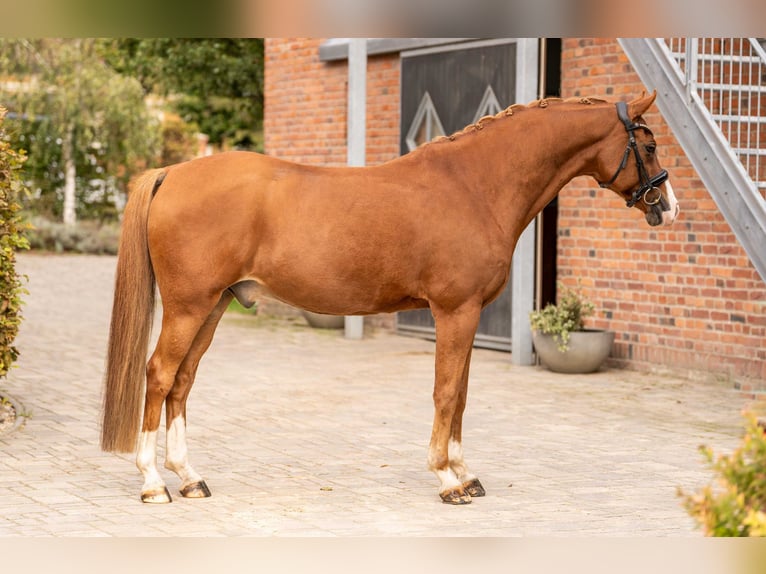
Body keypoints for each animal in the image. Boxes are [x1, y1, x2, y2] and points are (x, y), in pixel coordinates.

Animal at [100, 92, 680, 506]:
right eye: (649, 145)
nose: (668, 207)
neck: (473, 185)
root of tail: (170, 172)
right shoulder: (455, 311)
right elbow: (445, 393)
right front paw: (447, 479)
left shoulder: (467, 316)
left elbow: (462, 394)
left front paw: (466, 473)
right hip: (188, 306)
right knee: (159, 375)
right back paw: (153, 482)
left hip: (214, 305)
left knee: (182, 382)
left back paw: (189, 478)